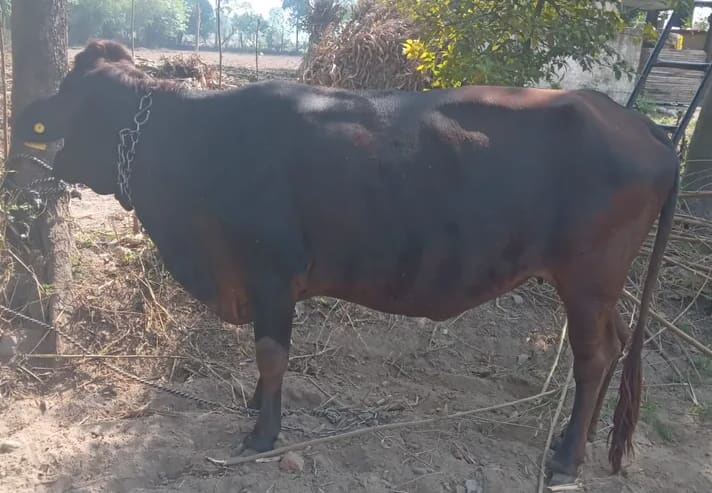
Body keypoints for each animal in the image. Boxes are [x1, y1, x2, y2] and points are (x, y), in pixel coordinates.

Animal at [9, 40, 679, 484]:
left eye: (72, 96)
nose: (22, 122)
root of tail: (637, 122)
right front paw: (255, 406)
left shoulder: (272, 272)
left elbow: (271, 353)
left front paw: (261, 432)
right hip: (601, 288)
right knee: (616, 343)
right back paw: (578, 440)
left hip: (587, 278)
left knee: (594, 356)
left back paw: (566, 457)